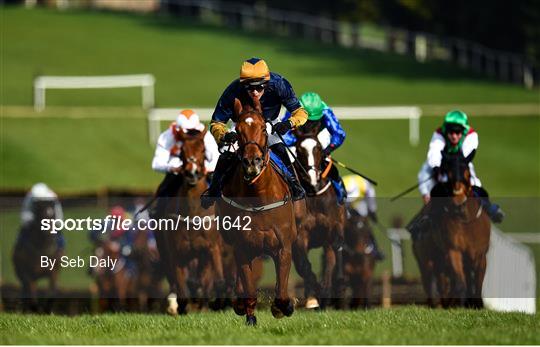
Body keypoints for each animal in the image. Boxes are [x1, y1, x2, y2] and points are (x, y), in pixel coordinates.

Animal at [156, 128, 226, 316]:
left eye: (203, 150)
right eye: (181, 152)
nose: (192, 172)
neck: (193, 213)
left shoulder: (212, 248)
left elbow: (217, 280)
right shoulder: (176, 252)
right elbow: (181, 286)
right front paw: (181, 307)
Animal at [215, 97, 298, 326]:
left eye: (263, 128)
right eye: (238, 130)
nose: (252, 161)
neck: (258, 196)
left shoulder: (283, 247)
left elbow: (281, 289)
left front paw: (284, 307)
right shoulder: (242, 247)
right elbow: (249, 286)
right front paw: (249, 315)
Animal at [292, 127, 346, 310]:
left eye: (318, 148)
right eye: (299, 150)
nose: (312, 178)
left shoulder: (332, 229)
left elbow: (332, 257)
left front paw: (328, 291)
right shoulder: (301, 234)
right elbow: (304, 265)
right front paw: (314, 295)